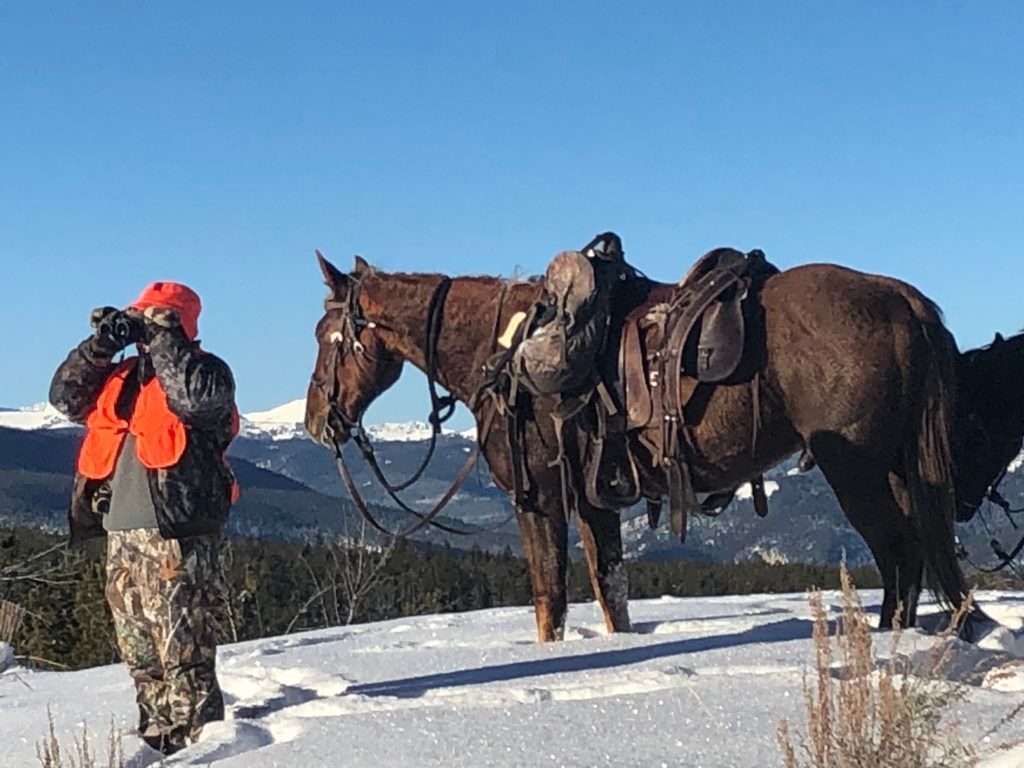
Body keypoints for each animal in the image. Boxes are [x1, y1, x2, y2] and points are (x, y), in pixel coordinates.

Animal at [305, 252, 973, 639]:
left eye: (324, 334)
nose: (316, 421)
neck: (504, 353)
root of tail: (903, 299)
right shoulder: (595, 499)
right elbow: (613, 594)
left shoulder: (540, 498)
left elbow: (551, 600)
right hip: (894, 470)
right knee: (911, 552)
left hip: (853, 469)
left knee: (898, 552)